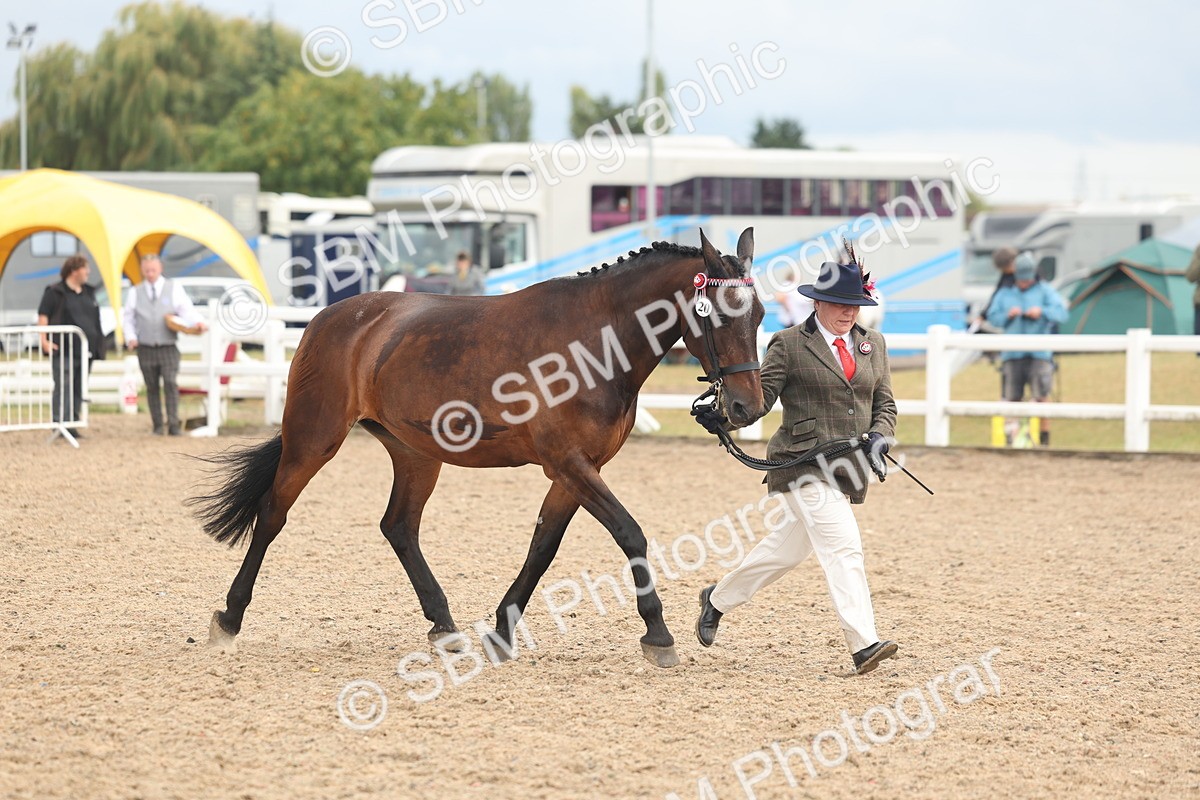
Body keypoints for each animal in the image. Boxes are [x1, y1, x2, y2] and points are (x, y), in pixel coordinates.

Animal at [188, 228, 766, 669]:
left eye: (759, 315)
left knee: (399, 526)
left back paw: (443, 625)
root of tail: (329, 319)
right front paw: (658, 635)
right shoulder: (570, 465)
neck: (595, 341)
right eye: (717, 315)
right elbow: (630, 534)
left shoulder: (575, 471)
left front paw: (502, 631)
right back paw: (229, 618)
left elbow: (542, 548)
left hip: (417, 454)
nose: (746, 408)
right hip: (314, 439)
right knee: (272, 514)